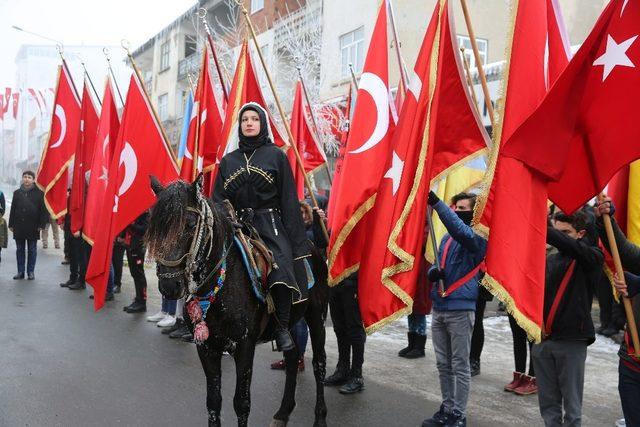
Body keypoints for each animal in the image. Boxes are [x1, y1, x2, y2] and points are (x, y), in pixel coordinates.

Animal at [147, 176, 330, 426]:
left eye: (191, 224)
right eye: (156, 226)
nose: (169, 284)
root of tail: (313, 248)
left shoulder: (244, 347)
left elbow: (241, 403)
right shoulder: (207, 347)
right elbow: (213, 401)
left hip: (316, 315)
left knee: (318, 363)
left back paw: (319, 417)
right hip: (292, 320)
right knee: (292, 357)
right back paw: (282, 412)